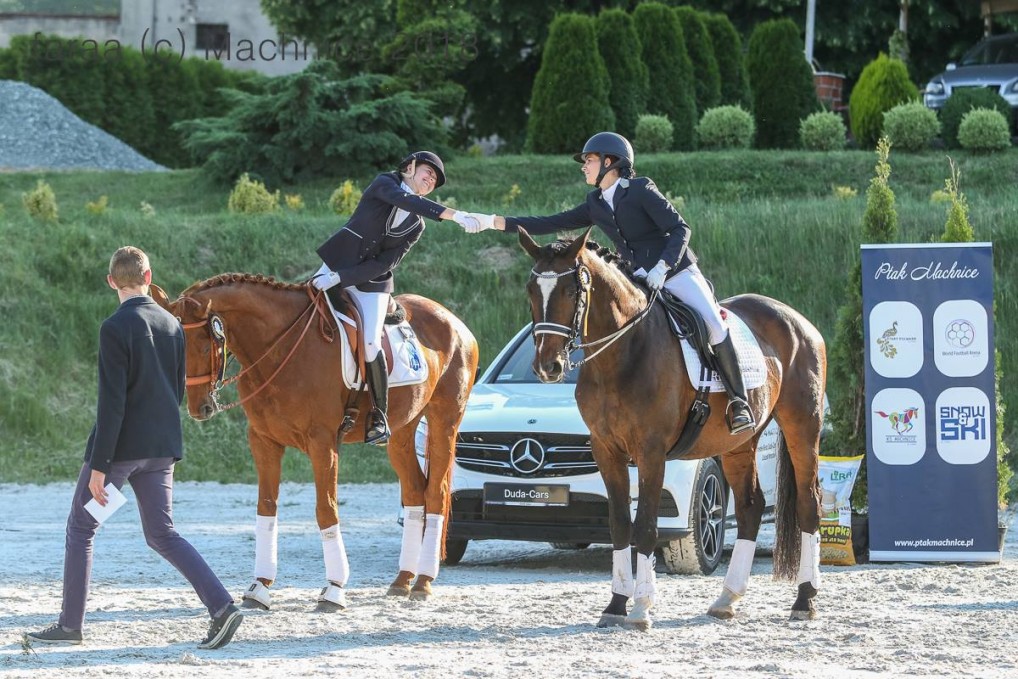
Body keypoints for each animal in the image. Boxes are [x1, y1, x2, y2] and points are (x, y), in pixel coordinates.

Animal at [152, 273, 478, 610]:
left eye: (205, 347)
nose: (199, 409)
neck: (280, 349)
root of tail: (453, 320)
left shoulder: (322, 443)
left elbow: (326, 510)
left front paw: (334, 589)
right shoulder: (263, 441)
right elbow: (266, 508)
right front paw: (260, 587)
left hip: (444, 420)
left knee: (436, 493)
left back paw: (423, 581)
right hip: (401, 431)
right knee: (414, 491)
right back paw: (402, 580)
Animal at [517, 229, 827, 630]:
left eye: (572, 291)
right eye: (531, 290)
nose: (548, 367)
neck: (620, 353)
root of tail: (797, 319)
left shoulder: (651, 452)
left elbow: (646, 526)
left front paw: (640, 608)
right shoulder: (606, 451)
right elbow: (620, 525)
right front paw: (616, 604)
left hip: (802, 425)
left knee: (809, 504)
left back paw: (804, 599)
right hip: (739, 443)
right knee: (750, 507)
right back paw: (727, 598)